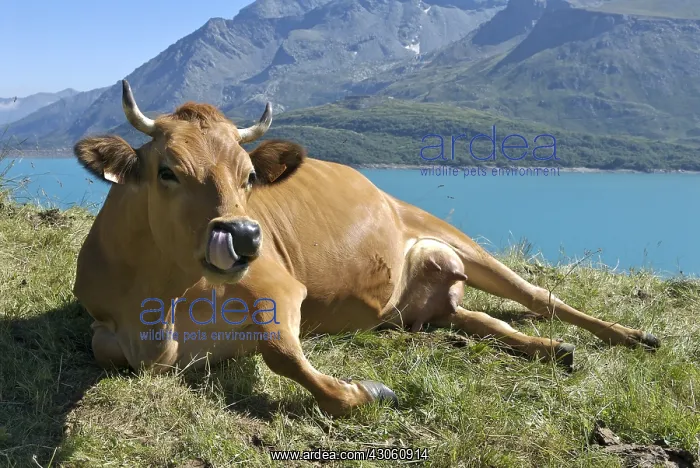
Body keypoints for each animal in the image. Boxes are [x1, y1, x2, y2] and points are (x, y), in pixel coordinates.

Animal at [72, 80, 660, 417]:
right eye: (167, 171)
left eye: (248, 176)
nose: (244, 235)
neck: (157, 311)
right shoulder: (104, 326)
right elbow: (106, 349)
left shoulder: (280, 286)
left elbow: (281, 352)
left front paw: (367, 393)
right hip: (424, 306)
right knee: (480, 320)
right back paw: (548, 348)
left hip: (456, 239)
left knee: (538, 297)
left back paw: (630, 336)